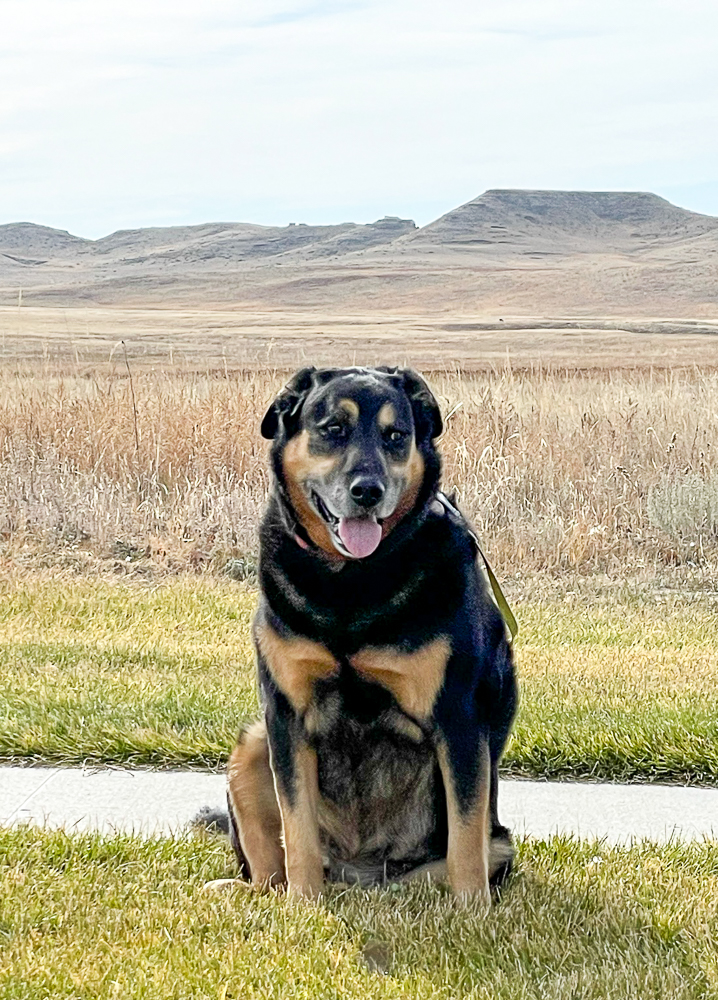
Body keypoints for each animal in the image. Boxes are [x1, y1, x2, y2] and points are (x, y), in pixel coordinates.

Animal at [222, 368, 516, 908]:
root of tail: (358, 874)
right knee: (267, 872)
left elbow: (465, 843)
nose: (368, 491)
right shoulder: (285, 716)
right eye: (334, 428)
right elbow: (297, 830)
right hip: (252, 747)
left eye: (395, 436)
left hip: (494, 842)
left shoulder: (459, 719)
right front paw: (303, 906)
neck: (350, 584)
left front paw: (473, 914)